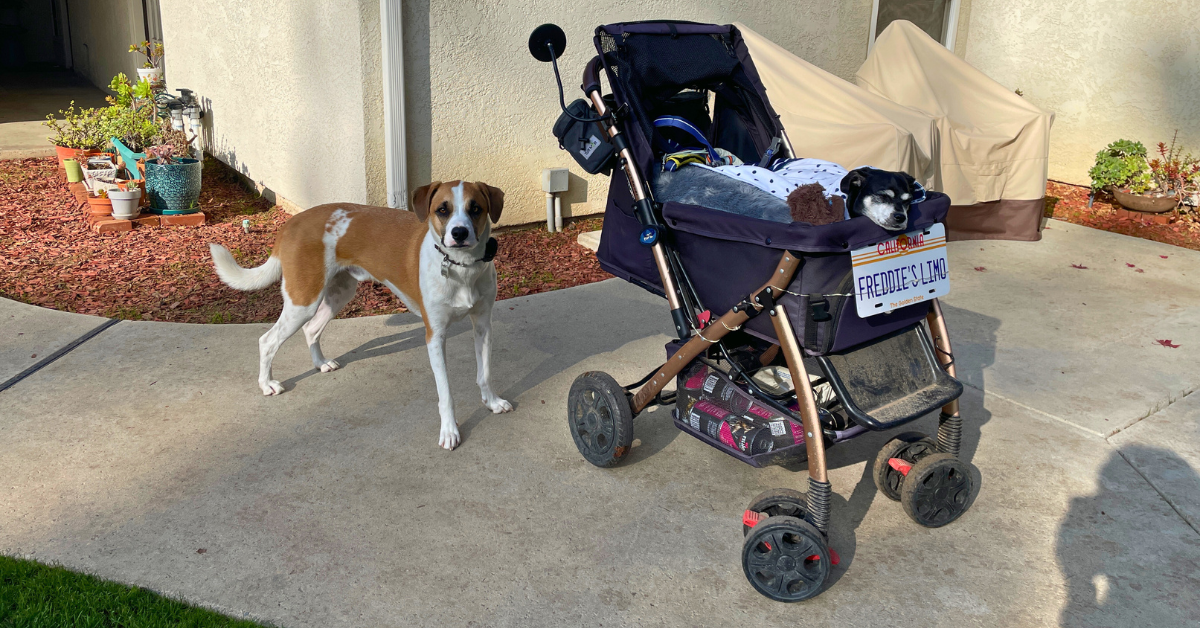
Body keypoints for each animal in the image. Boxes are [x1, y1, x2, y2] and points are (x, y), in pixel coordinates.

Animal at [211, 181, 511, 451]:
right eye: (442, 210)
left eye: (476, 208)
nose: (459, 233)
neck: (462, 268)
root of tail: (291, 223)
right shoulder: (435, 336)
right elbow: (446, 393)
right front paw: (449, 432)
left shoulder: (483, 325)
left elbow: (484, 373)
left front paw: (491, 402)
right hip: (302, 301)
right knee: (268, 341)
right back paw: (266, 385)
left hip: (339, 293)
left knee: (311, 329)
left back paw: (320, 363)